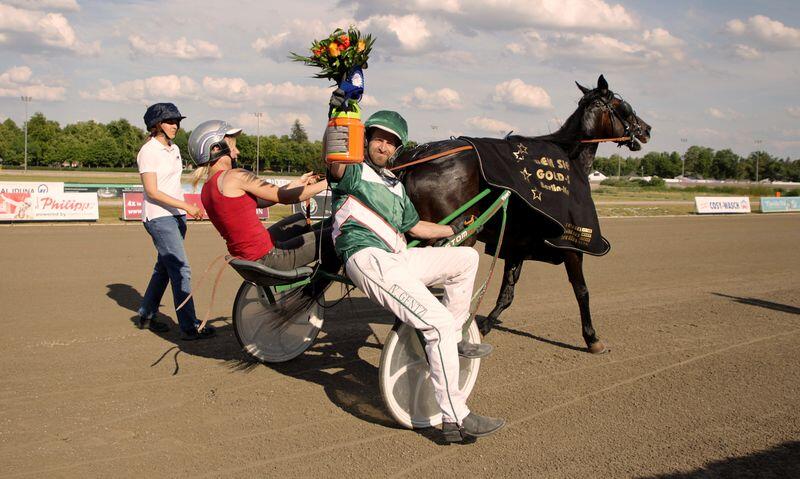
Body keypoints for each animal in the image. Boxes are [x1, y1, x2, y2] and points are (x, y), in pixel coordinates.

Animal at [394, 74, 648, 352]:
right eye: (624, 106)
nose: (646, 129)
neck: (570, 160)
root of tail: (417, 156)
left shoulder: (516, 245)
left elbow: (507, 293)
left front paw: (484, 326)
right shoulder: (571, 244)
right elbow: (581, 290)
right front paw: (592, 338)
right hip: (455, 235)